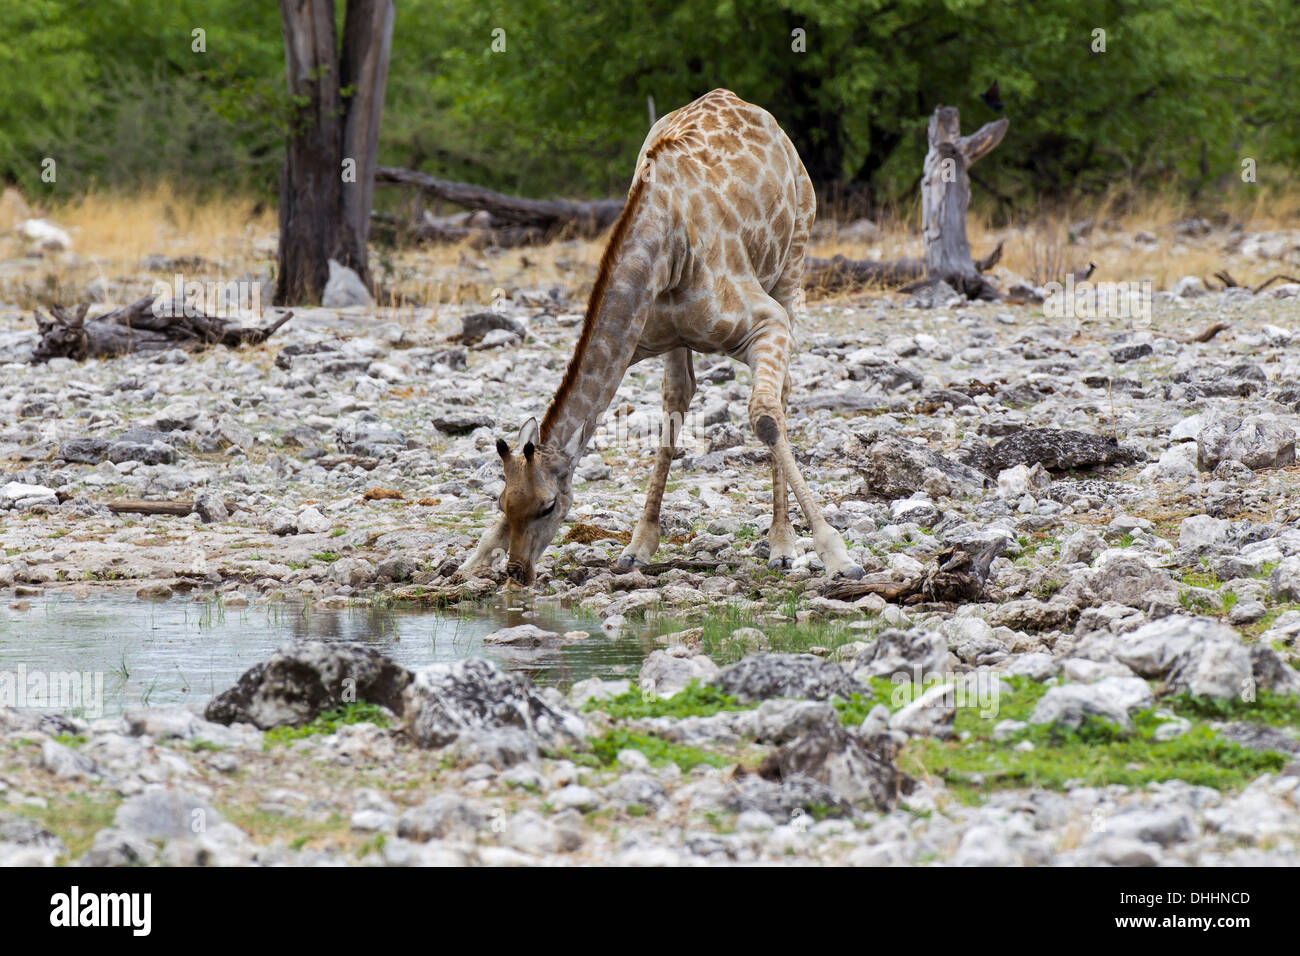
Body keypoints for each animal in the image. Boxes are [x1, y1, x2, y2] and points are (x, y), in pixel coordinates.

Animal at [457, 87, 863, 582]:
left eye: (549, 506)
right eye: (502, 503)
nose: (517, 571)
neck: (668, 250)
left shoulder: (767, 321)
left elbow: (765, 416)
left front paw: (835, 553)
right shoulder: (639, 337)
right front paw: (470, 562)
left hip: (793, 265)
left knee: (781, 393)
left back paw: (782, 544)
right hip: (680, 339)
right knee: (679, 396)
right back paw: (640, 544)